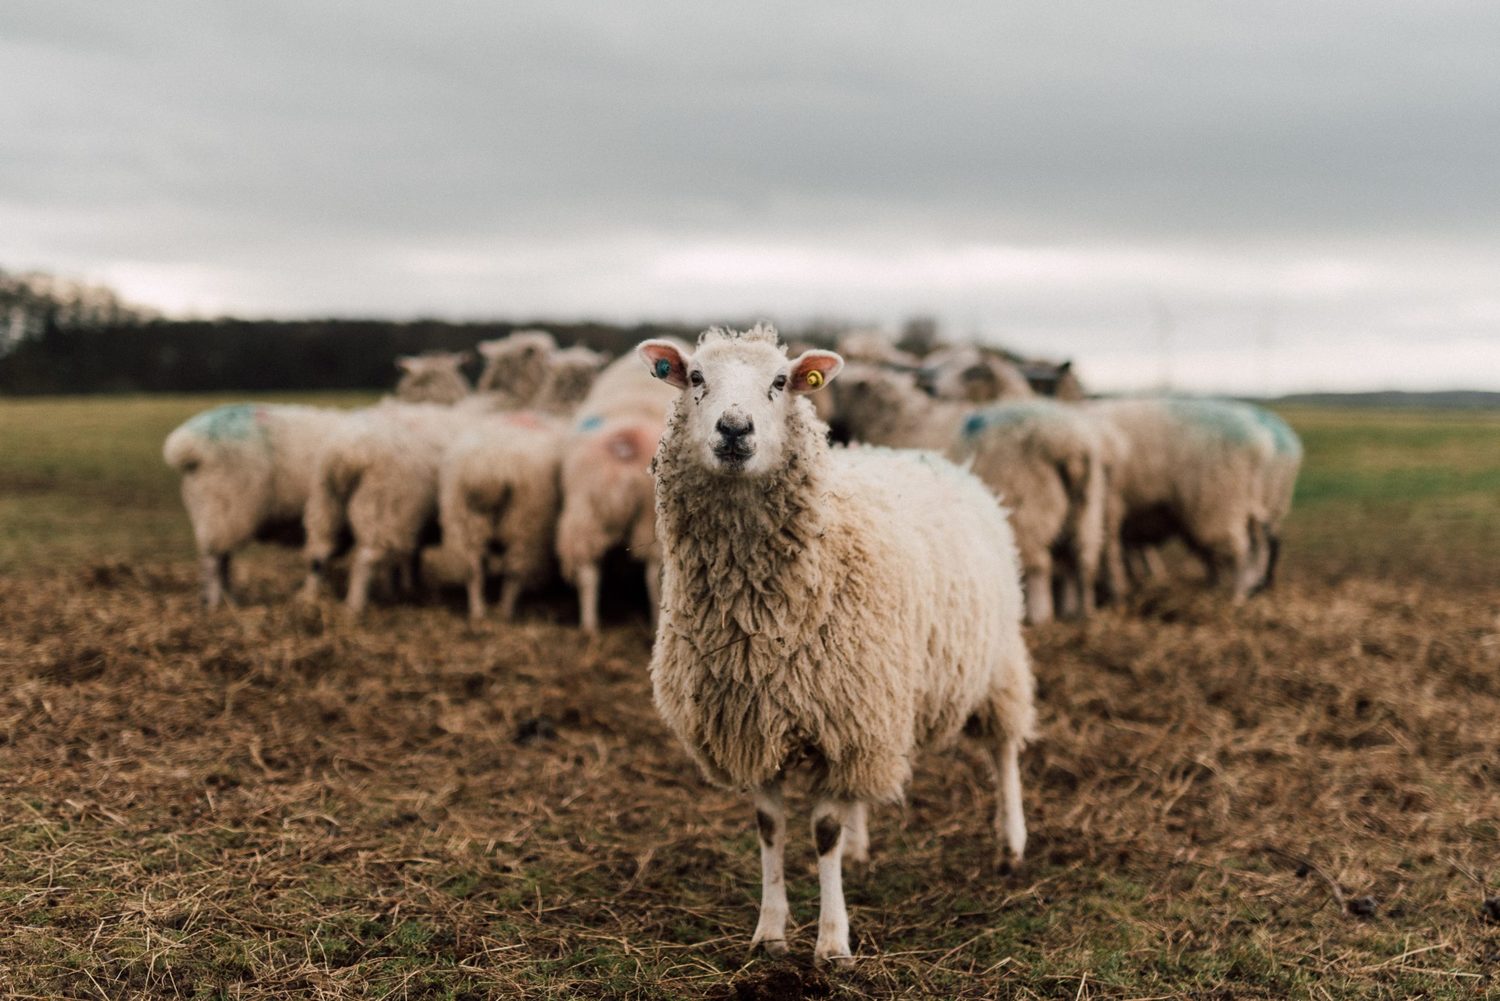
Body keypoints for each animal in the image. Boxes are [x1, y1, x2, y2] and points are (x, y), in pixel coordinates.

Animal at [162, 402, 349, 606]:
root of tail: (189, 442)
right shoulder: (327, 514)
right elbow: (318, 558)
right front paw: (310, 597)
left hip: (207, 507)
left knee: (218, 557)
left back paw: (227, 600)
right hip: (224, 506)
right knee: (214, 560)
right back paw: (217, 604)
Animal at [558, 348, 681, 630]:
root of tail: (624, 443)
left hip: (585, 508)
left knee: (588, 572)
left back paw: (589, 626)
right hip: (650, 515)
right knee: (652, 573)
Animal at [639, 325, 1038, 966]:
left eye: (781, 382)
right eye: (695, 377)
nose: (734, 429)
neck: (759, 619)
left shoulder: (840, 715)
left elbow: (821, 832)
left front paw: (831, 943)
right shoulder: (760, 718)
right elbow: (769, 827)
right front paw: (770, 933)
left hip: (994, 658)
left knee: (1004, 749)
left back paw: (1011, 843)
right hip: (873, 709)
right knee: (860, 789)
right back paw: (859, 844)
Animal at [834, 364, 1104, 621]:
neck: (898, 417)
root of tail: (1069, 445)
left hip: (1029, 506)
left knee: (1041, 565)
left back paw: (1039, 615)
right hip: (1086, 509)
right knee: (1082, 562)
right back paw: (1081, 611)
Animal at [1086, 396, 1296, 603]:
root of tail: (1265, 443)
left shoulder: (1110, 508)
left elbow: (1112, 551)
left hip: (1218, 504)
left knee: (1242, 549)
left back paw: (1237, 595)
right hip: (1250, 505)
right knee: (1262, 542)